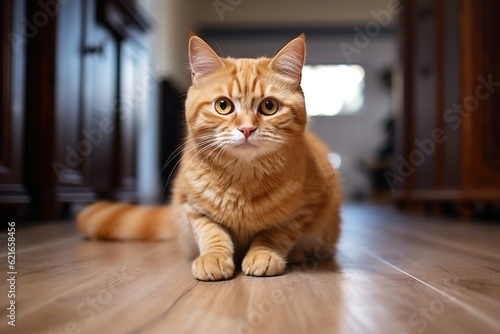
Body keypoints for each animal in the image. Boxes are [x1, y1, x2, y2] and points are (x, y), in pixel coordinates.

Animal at [78, 34, 342, 280]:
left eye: (269, 106)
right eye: (223, 106)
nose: (247, 129)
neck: (243, 184)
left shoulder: (306, 208)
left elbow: (274, 234)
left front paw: (264, 254)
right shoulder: (192, 208)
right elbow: (212, 233)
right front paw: (213, 257)